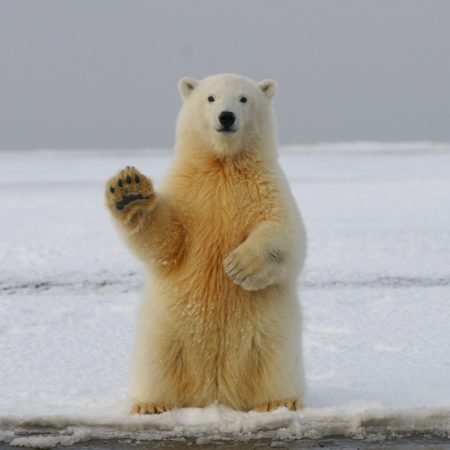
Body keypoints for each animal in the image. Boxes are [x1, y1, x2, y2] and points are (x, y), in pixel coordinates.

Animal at [104, 74, 308, 414]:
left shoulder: (266, 188)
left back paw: (280, 402)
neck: (223, 166)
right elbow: (167, 241)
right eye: (210, 98)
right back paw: (150, 405)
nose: (226, 117)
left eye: (243, 99)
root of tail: (215, 393)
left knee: (275, 363)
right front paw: (129, 191)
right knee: (156, 364)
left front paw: (239, 266)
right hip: (165, 330)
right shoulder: (189, 192)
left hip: (272, 333)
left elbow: (286, 234)